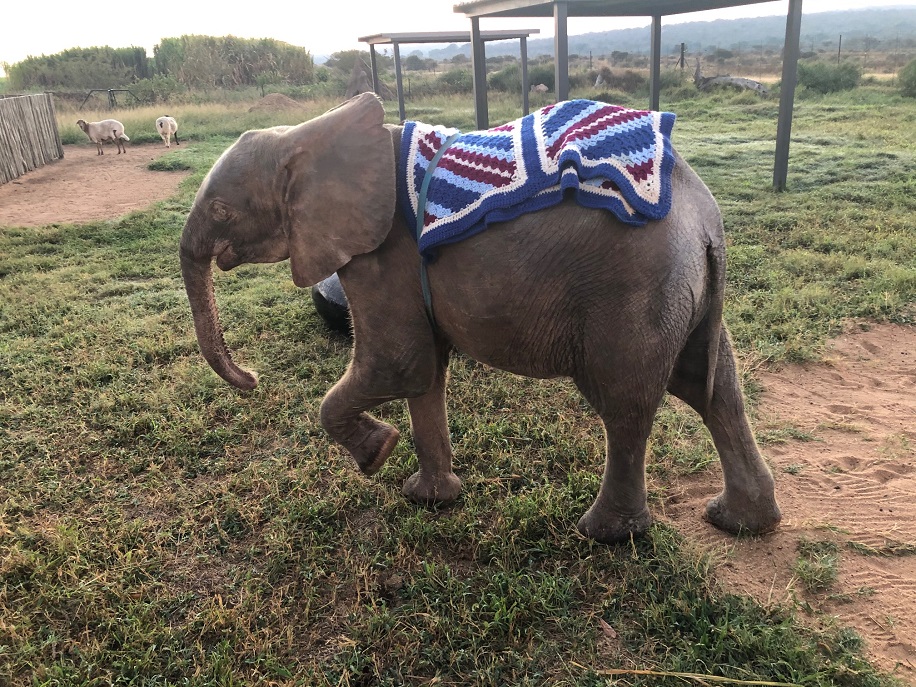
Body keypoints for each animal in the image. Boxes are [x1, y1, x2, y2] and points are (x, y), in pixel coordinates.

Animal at [179, 93, 781, 544]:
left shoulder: (382, 255)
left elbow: (398, 364)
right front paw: (430, 499)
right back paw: (739, 522)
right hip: (682, 292)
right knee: (713, 389)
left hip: (634, 290)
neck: (307, 135)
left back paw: (604, 535)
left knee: (625, 403)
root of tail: (707, 221)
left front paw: (377, 454)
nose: (252, 378)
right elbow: (425, 374)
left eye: (222, 210)